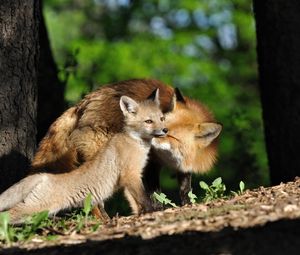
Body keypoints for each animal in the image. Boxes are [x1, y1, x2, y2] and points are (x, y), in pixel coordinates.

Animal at [31, 79, 221, 207]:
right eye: (156, 122)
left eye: (172, 136)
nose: (149, 137)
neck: (169, 159)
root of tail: (85, 101)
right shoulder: (150, 163)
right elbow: (155, 193)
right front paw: (158, 209)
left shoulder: (184, 166)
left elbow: (185, 189)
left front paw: (187, 204)